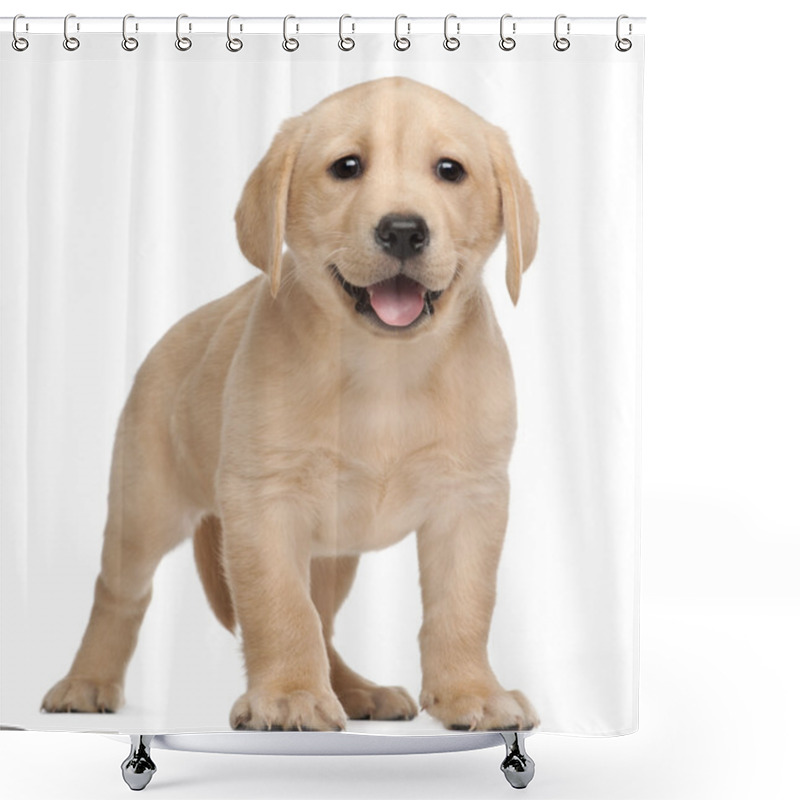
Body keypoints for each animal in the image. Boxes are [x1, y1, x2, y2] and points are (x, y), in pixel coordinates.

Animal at [40, 78, 540, 736]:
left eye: (450, 170)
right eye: (347, 167)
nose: (404, 230)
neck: (385, 369)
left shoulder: (471, 499)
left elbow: (463, 605)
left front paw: (472, 692)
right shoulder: (264, 500)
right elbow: (279, 607)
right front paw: (289, 696)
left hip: (334, 555)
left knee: (324, 624)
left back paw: (358, 692)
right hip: (145, 505)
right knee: (119, 593)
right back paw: (86, 681)